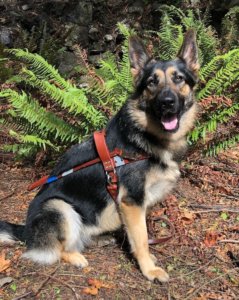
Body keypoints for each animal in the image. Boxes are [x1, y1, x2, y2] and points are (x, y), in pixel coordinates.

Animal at [0, 29, 198, 282]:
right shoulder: (132, 202)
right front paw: (149, 269)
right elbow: (142, 239)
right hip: (59, 207)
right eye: (152, 82)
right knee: (55, 250)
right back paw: (75, 257)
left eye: (179, 79)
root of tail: (25, 230)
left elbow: (140, 235)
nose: (167, 103)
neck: (146, 137)